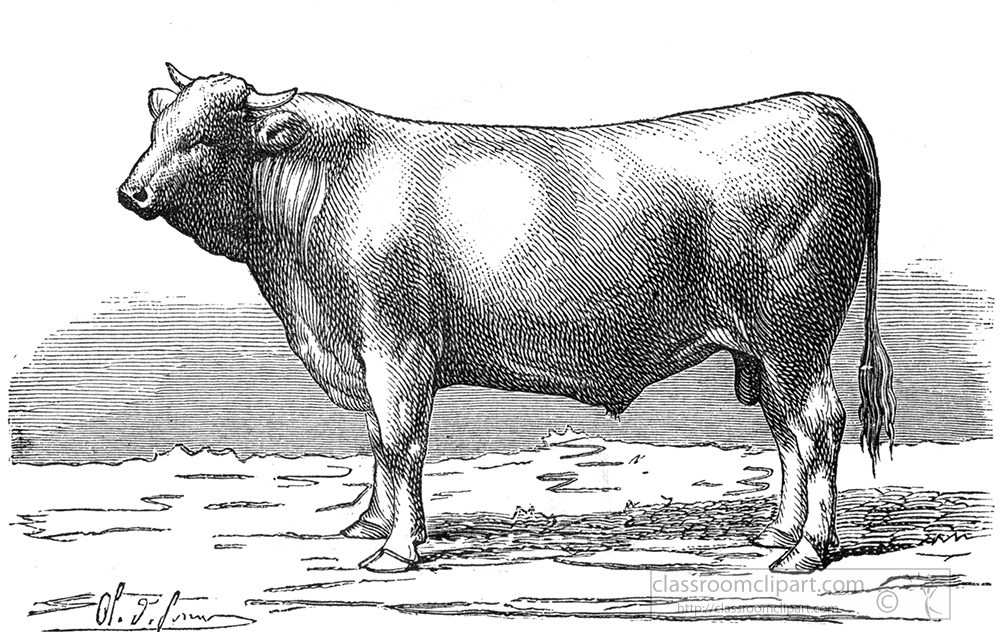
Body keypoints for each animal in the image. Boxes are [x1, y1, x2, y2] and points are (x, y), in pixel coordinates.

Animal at [118, 64, 896, 574]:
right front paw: (368, 524)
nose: (131, 191)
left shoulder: (395, 347)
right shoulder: (366, 353)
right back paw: (777, 535)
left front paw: (396, 550)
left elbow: (399, 443)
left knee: (819, 424)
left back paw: (807, 551)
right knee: (789, 435)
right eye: (158, 125)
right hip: (764, 351)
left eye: (205, 136)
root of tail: (826, 107)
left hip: (794, 334)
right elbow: (376, 440)